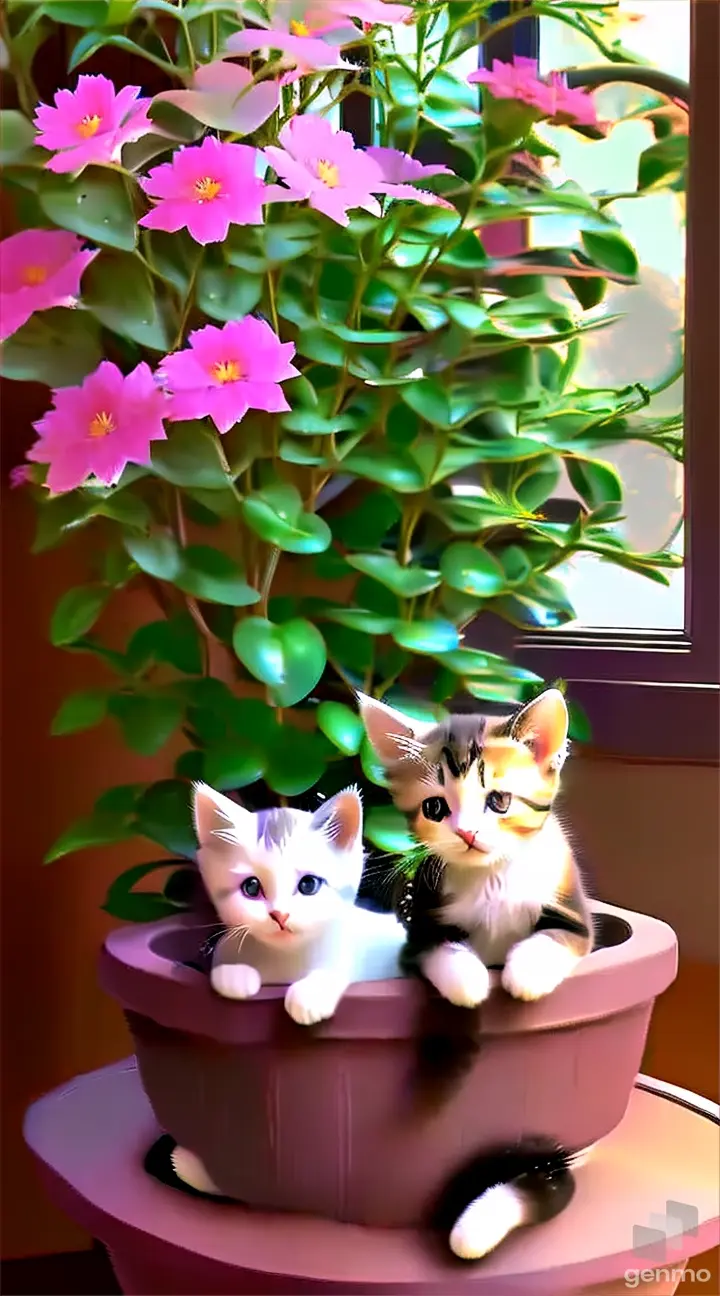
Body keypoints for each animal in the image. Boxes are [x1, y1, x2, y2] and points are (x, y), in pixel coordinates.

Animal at [357, 689, 593, 1000]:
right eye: (434, 807)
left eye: (499, 800)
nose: (466, 832)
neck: (491, 876)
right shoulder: (421, 929)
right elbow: (442, 947)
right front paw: (467, 980)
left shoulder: (573, 916)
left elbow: (555, 937)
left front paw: (526, 974)